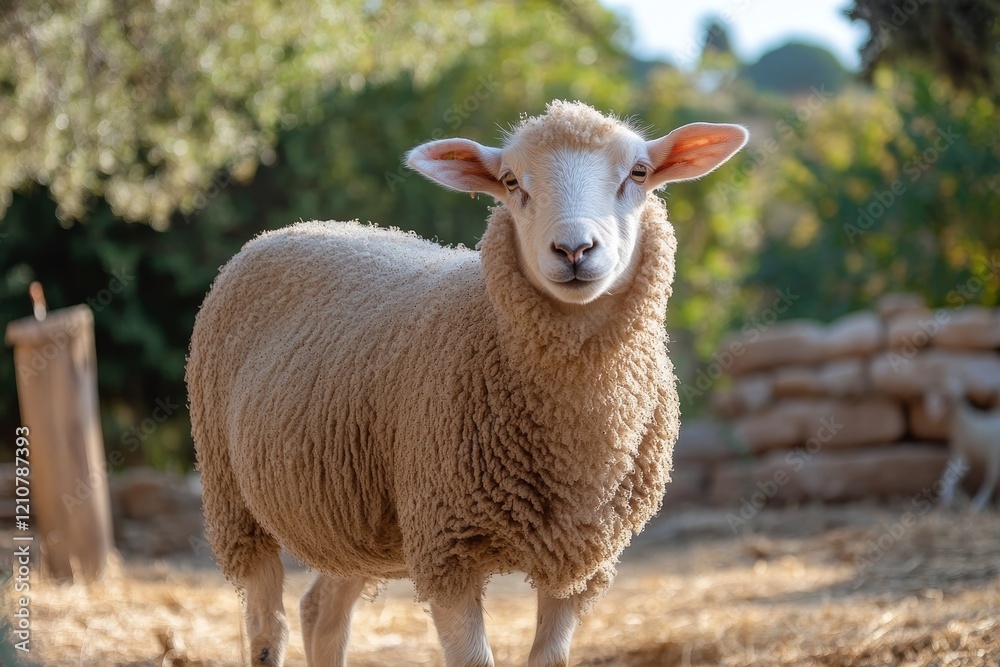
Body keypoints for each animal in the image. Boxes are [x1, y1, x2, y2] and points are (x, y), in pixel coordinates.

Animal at [186, 99, 748, 667]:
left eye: (638, 172)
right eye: (510, 181)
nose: (573, 250)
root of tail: (295, 227)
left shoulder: (579, 560)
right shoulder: (447, 546)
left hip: (354, 513)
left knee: (321, 611)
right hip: (233, 496)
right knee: (267, 626)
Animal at [924, 375, 1000, 510]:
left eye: (945, 398)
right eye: (929, 397)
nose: (931, 413)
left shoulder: (969, 455)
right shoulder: (961, 455)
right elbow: (948, 474)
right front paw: (947, 501)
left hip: (994, 458)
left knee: (990, 480)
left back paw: (977, 504)